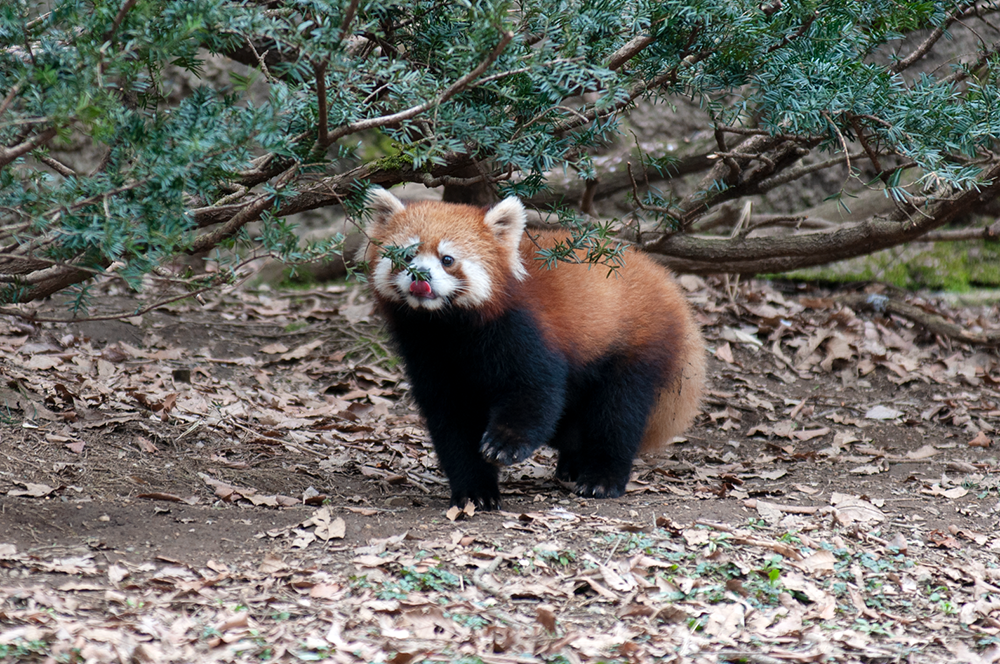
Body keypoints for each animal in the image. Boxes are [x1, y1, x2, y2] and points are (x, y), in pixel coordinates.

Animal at [360, 187, 704, 508]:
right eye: (406, 256)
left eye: (447, 260)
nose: (421, 276)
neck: (447, 328)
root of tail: (666, 282)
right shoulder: (427, 355)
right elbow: (452, 422)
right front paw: (475, 491)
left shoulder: (523, 331)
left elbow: (535, 392)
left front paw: (503, 444)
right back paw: (573, 464)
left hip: (637, 345)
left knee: (618, 414)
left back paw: (602, 478)